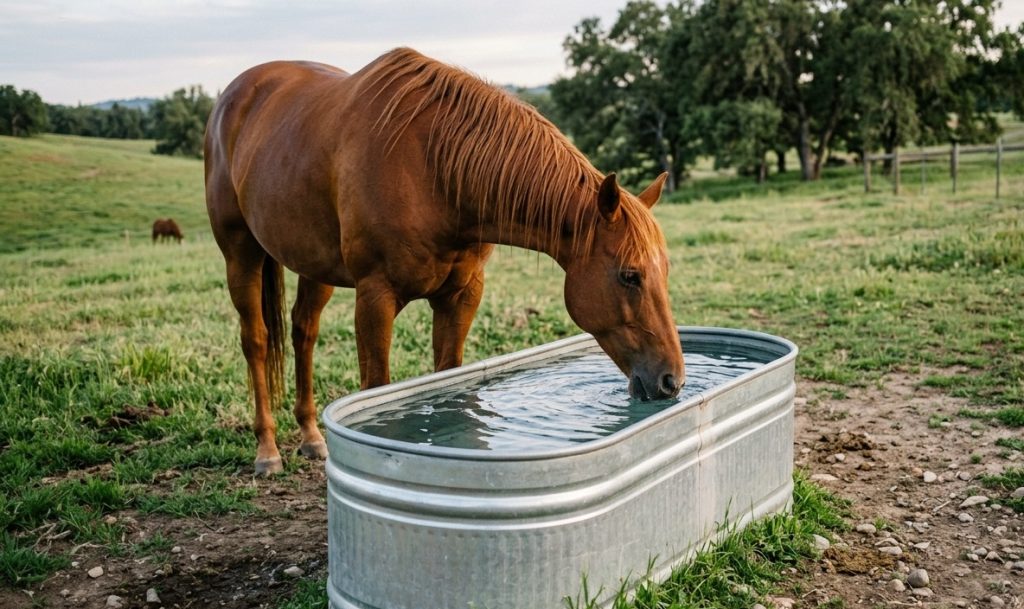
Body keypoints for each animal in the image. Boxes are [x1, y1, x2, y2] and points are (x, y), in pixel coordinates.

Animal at [204, 48, 685, 475]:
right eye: (629, 275)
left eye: (665, 271)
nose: (672, 381)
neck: (433, 168)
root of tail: (236, 95)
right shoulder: (375, 297)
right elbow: (376, 387)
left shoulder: (462, 294)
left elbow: (448, 380)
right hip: (240, 253)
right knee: (256, 340)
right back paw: (267, 451)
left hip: (312, 263)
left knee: (304, 333)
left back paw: (310, 437)